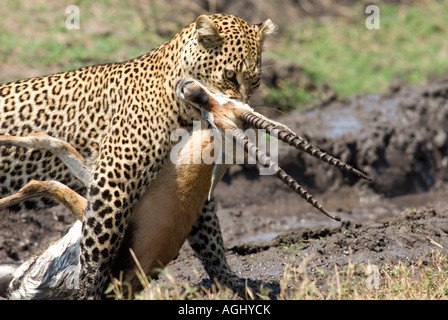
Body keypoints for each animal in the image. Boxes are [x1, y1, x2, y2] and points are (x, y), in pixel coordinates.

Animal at [0, 13, 276, 298]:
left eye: (255, 82)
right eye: (230, 76)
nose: (244, 111)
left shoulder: (181, 185)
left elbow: (209, 236)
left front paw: (232, 281)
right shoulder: (112, 184)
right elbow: (96, 251)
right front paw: (89, 290)